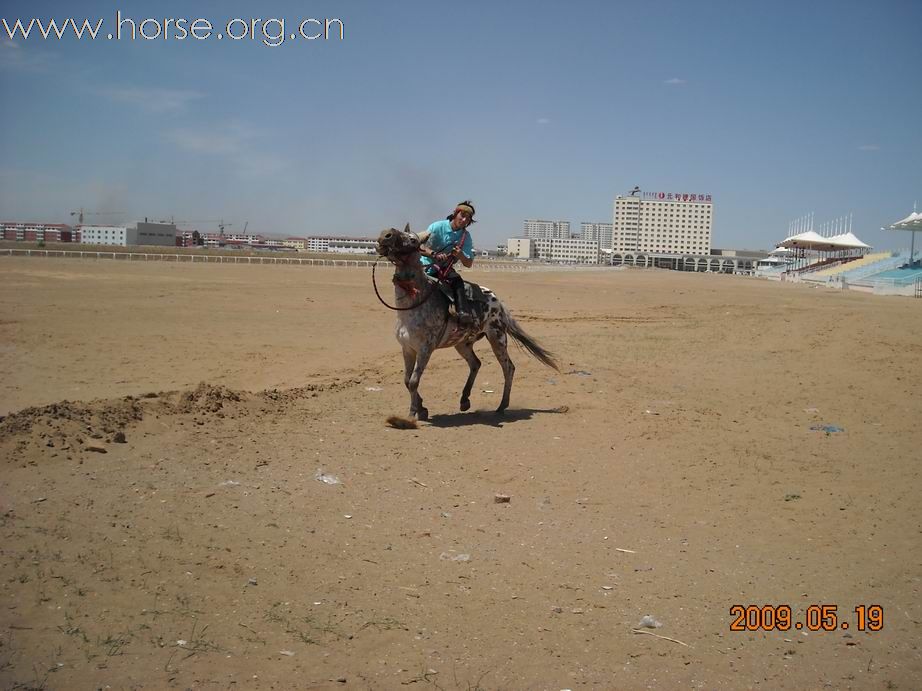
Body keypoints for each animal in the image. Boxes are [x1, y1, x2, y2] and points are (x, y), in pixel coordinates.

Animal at [376, 227, 560, 422]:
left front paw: (413, 414)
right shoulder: (408, 349)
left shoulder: (426, 349)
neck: (413, 306)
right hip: (463, 344)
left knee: (508, 368)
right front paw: (421, 409)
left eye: (412, 240)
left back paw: (501, 406)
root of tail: (498, 301)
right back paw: (465, 400)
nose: (386, 235)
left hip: (497, 338)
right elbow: (406, 380)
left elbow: (413, 381)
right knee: (475, 364)